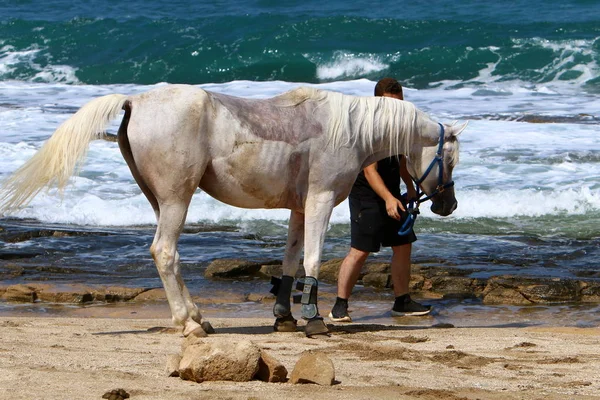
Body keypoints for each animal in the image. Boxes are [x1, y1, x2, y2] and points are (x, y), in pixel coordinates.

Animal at [0, 85, 464, 338]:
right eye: (451, 159)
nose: (449, 204)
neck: (348, 129)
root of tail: (136, 100)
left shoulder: (298, 209)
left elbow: (291, 261)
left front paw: (284, 317)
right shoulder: (318, 202)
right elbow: (313, 260)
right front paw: (313, 319)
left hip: (160, 200)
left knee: (171, 257)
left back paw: (198, 319)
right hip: (176, 199)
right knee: (164, 252)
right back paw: (187, 323)